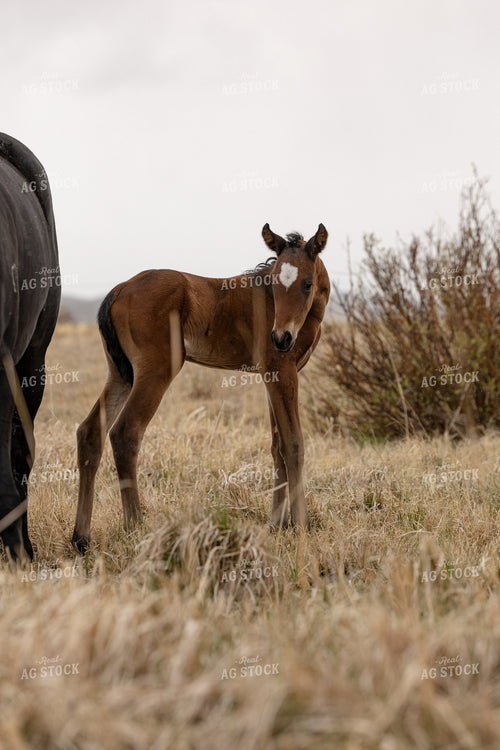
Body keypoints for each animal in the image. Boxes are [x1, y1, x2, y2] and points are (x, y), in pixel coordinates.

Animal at [72, 223, 330, 552]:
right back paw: (135, 528)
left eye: (307, 284)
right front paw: (301, 527)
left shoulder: (272, 376)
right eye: (274, 284)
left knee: (90, 432)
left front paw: (277, 524)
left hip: (120, 374)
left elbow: (277, 445)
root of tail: (120, 288)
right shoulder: (281, 370)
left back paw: (81, 537)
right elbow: (293, 443)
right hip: (156, 370)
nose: (281, 338)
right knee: (125, 433)